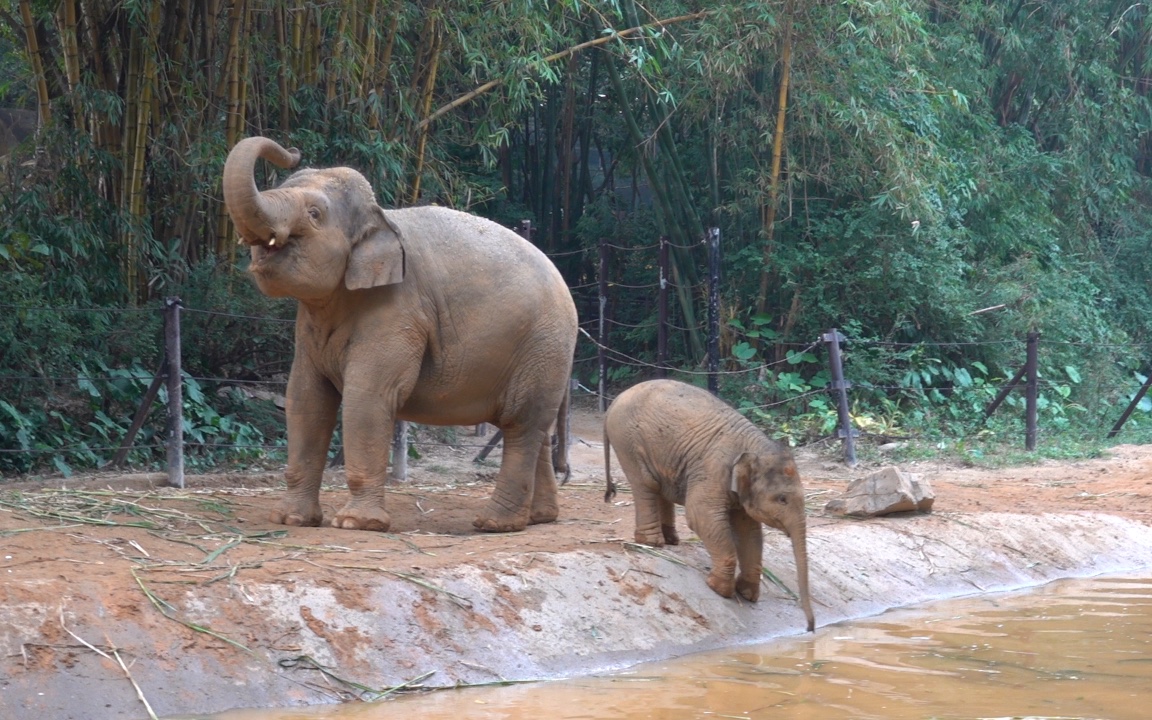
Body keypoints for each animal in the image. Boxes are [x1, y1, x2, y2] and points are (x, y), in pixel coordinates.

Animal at [223, 134, 580, 529]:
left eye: (315, 214)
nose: (293, 152)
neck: (380, 216)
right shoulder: (310, 324)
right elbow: (305, 397)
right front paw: (290, 519)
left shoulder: (399, 310)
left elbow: (367, 397)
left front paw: (356, 524)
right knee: (537, 431)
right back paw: (540, 518)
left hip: (543, 346)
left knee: (521, 426)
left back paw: (493, 524)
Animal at [608, 375, 815, 626]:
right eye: (782, 499)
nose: (810, 627)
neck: (754, 445)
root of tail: (616, 399)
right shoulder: (712, 470)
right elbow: (700, 515)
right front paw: (718, 589)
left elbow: (749, 531)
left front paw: (747, 594)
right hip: (626, 439)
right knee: (645, 484)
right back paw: (652, 544)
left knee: (659, 487)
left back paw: (670, 540)